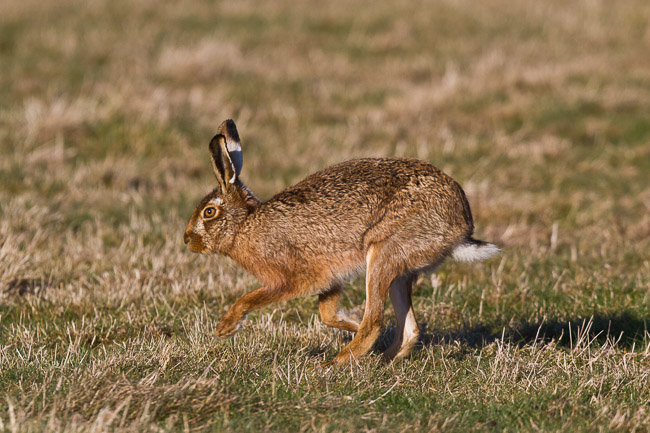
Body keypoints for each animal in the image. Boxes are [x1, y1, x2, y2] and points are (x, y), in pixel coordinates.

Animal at [184, 119, 499, 365]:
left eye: (209, 212)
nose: (188, 240)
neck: (244, 225)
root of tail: (460, 226)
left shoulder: (290, 279)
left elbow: (250, 298)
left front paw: (225, 328)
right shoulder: (330, 279)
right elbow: (327, 314)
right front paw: (350, 323)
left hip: (383, 254)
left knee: (375, 321)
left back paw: (334, 363)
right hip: (399, 271)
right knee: (408, 328)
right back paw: (380, 360)